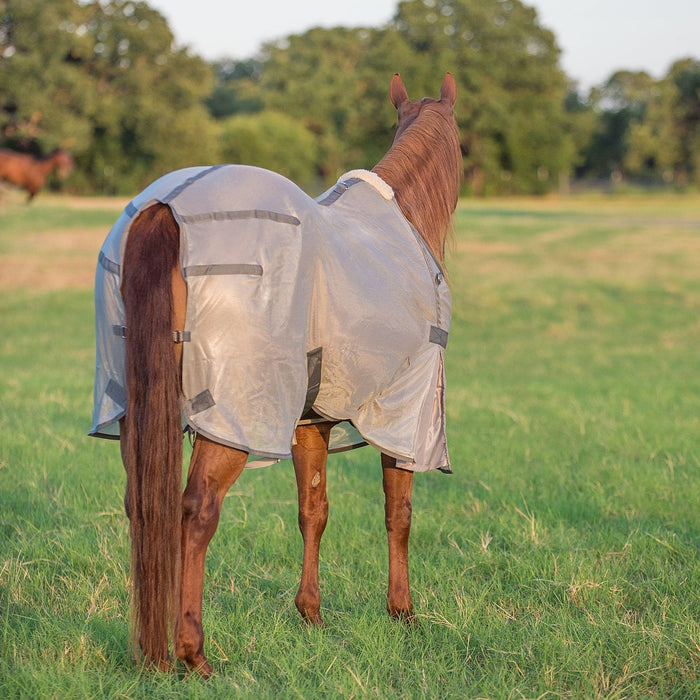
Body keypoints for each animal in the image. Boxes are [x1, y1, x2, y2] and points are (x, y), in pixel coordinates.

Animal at [91, 72, 462, 676]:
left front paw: (310, 614)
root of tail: (164, 208)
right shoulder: (406, 413)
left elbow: (314, 510)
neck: (402, 223)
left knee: (142, 504)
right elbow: (398, 513)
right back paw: (192, 653)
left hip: (135, 410)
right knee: (196, 512)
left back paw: (150, 651)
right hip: (232, 420)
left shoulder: (311, 420)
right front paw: (402, 612)